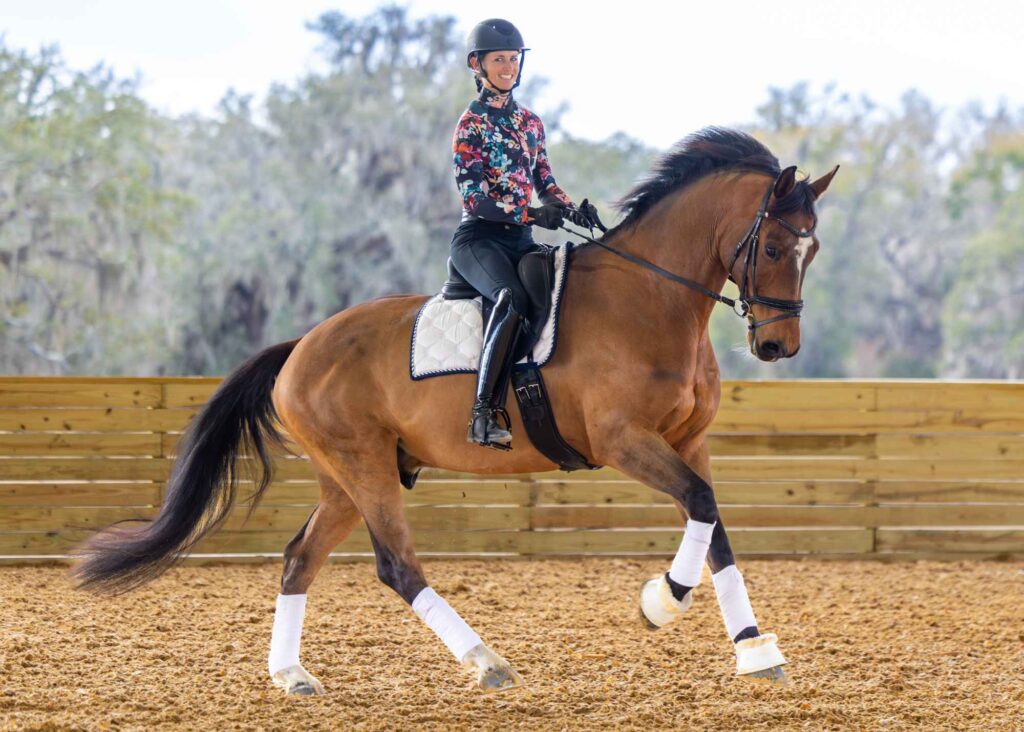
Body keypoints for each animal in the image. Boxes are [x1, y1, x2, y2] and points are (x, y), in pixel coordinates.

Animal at [74, 127, 839, 695]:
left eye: (813, 250)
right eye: (774, 245)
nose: (777, 345)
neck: (649, 299)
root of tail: (300, 349)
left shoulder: (690, 439)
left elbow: (714, 525)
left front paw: (754, 650)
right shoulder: (623, 439)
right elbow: (701, 510)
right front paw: (661, 601)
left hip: (348, 478)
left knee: (299, 558)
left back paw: (291, 673)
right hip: (365, 468)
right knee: (397, 567)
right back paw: (486, 661)